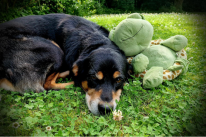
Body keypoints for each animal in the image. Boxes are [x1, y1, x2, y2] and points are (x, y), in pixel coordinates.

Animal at [0, 13, 132, 114]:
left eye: (119, 80)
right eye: (93, 77)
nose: (105, 109)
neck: (94, 38)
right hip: (55, 49)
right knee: (48, 84)